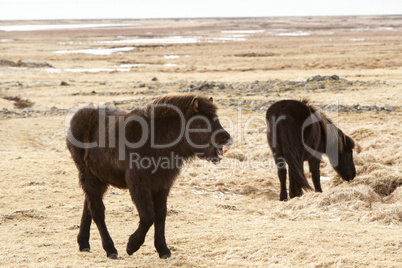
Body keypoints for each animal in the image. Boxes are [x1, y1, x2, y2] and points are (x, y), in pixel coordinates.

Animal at [66, 94, 232, 260]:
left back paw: (84, 244)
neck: (156, 139)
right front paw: (131, 246)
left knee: (88, 206)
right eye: (202, 122)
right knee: (97, 210)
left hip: (97, 179)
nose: (227, 138)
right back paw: (110, 249)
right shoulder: (138, 184)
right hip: (89, 177)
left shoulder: (162, 185)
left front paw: (163, 249)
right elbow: (148, 216)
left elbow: (161, 215)